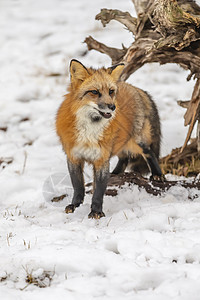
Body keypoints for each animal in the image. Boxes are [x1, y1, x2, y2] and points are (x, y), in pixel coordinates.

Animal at [55, 59, 163, 218]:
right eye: (94, 92)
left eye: (111, 91)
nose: (112, 107)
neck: (89, 129)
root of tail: (135, 88)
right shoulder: (73, 157)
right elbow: (78, 186)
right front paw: (75, 205)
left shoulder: (102, 158)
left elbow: (99, 190)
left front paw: (96, 212)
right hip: (121, 143)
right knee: (124, 158)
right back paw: (116, 174)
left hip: (137, 141)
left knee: (149, 152)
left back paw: (157, 174)